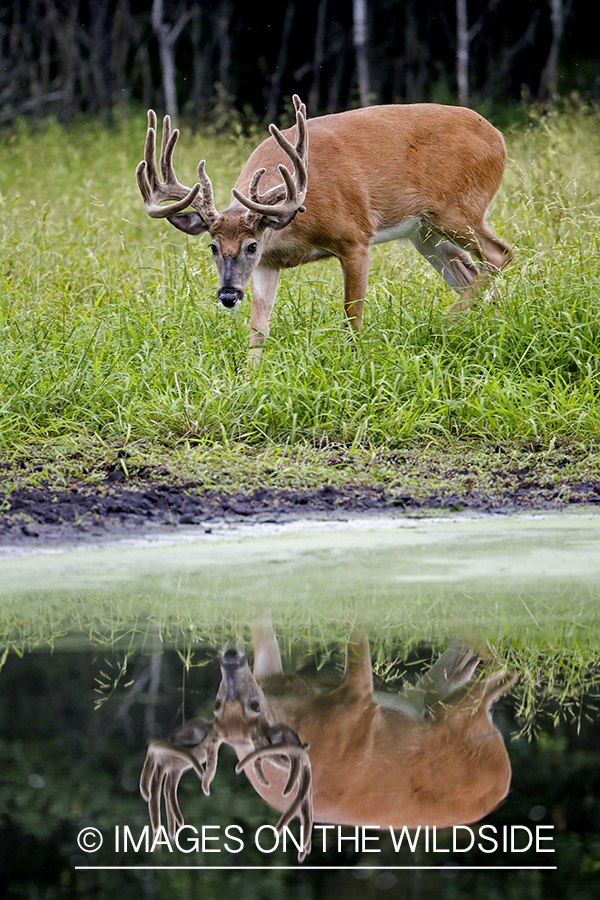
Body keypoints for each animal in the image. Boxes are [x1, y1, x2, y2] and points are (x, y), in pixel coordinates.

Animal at [137, 91, 516, 358]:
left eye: (251, 245)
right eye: (213, 247)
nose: (228, 295)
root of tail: (498, 137)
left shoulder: (355, 236)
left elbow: (352, 314)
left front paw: (353, 361)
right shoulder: (268, 265)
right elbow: (258, 330)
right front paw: (249, 381)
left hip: (457, 209)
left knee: (499, 256)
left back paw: (441, 325)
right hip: (422, 231)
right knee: (470, 273)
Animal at [139, 616, 516, 860]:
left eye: (217, 704)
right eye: (250, 705)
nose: (231, 661)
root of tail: (503, 783)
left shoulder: (269, 671)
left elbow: (261, 620)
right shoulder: (357, 701)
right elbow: (357, 632)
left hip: (433, 702)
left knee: (458, 667)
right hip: (453, 720)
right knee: (496, 674)